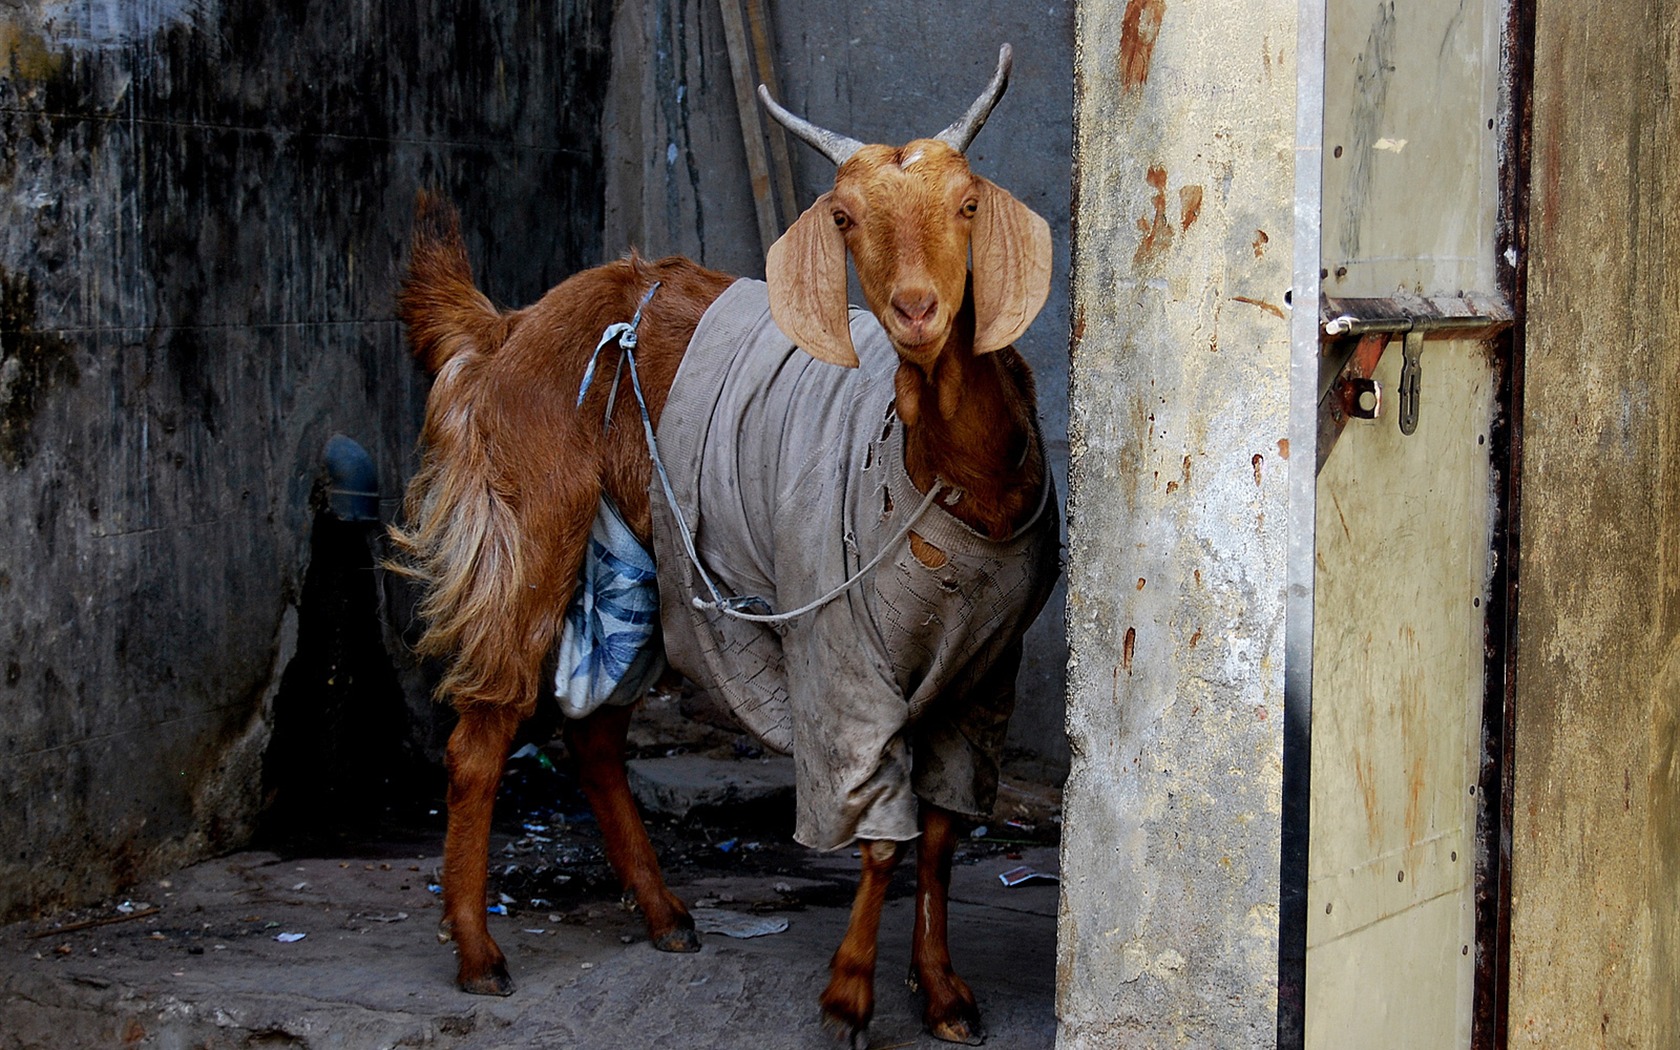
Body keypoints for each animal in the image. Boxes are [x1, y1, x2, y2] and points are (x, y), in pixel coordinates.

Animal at [386, 44, 1055, 1041]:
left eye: (969, 202)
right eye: (845, 217)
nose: (917, 311)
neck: (946, 475)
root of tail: (509, 329)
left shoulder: (986, 670)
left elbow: (939, 833)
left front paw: (943, 997)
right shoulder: (841, 656)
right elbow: (879, 833)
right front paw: (847, 998)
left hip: (645, 558)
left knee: (595, 737)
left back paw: (665, 914)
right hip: (534, 526)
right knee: (484, 734)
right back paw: (477, 953)